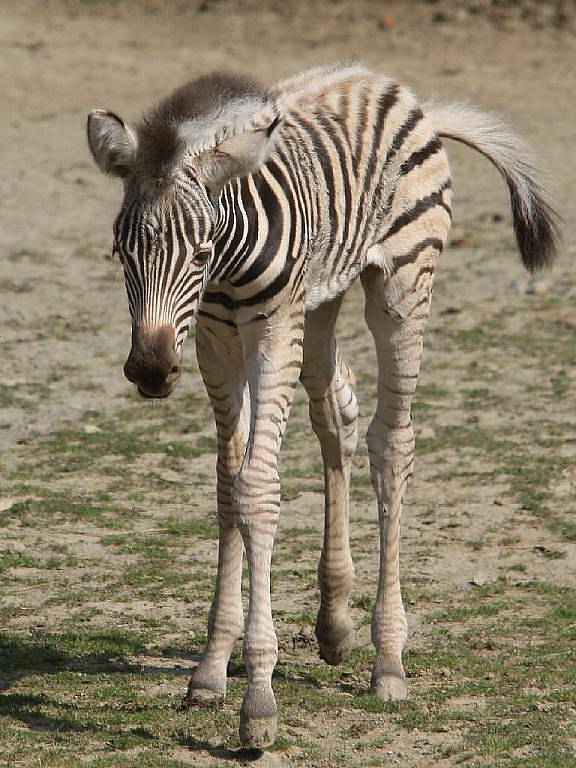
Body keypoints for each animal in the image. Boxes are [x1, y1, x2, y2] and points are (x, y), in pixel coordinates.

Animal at [85, 63, 560, 748]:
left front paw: (257, 702)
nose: (149, 371)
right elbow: (228, 486)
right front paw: (211, 668)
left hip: (400, 283)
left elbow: (257, 488)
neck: (224, 264)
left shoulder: (270, 329)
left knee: (392, 443)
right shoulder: (213, 341)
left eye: (198, 253)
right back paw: (335, 622)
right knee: (336, 411)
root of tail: (392, 87)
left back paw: (388, 659)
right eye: (121, 253)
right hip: (320, 301)